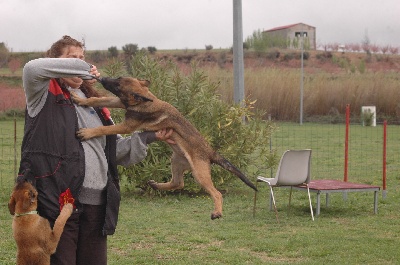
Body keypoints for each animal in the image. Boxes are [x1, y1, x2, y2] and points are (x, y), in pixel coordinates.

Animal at [70, 76, 258, 219]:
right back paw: (156, 186)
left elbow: (105, 128)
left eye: (118, 85)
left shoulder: (126, 125)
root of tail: (210, 151)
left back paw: (217, 212)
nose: (101, 78)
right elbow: (99, 99)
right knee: (178, 183)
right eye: (117, 78)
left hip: (199, 173)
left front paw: (88, 132)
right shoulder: (119, 101)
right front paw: (81, 99)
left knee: (216, 193)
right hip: (176, 161)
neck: (144, 100)